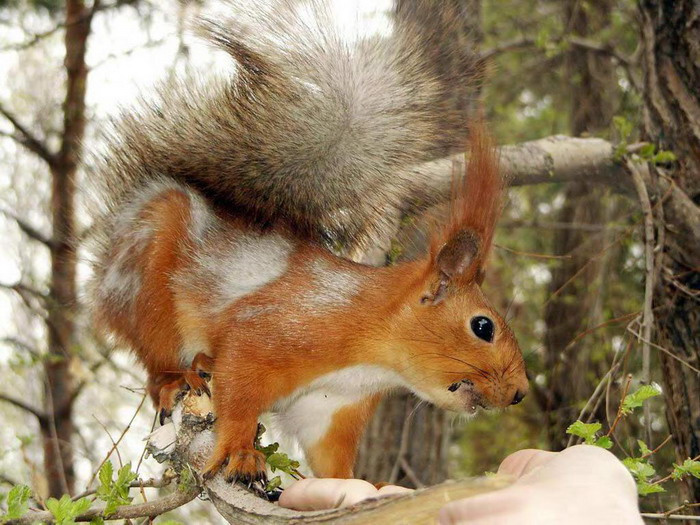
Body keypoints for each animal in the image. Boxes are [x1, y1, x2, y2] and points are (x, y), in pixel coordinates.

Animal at [88, 1, 529, 484]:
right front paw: (240, 450)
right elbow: (238, 394)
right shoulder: (270, 332)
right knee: (154, 354)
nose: (521, 392)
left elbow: (330, 460)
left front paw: (365, 485)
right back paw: (178, 375)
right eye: (483, 327)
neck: (372, 351)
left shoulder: (331, 406)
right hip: (147, 287)